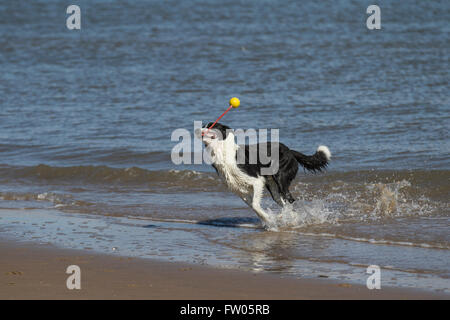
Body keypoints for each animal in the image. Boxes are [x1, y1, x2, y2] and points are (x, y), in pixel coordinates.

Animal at [197, 122, 330, 225]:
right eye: (203, 126)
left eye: (211, 126)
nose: (197, 130)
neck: (222, 151)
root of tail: (290, 151)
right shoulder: (239, 190)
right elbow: (254, 207)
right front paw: (268, 220)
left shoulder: (256, 181)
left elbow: (255, 205)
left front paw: (269, 219)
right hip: (273, 187)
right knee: (283, 201)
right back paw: (290, 218)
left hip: (281, 179)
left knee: (290, 200)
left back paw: (284, 216)